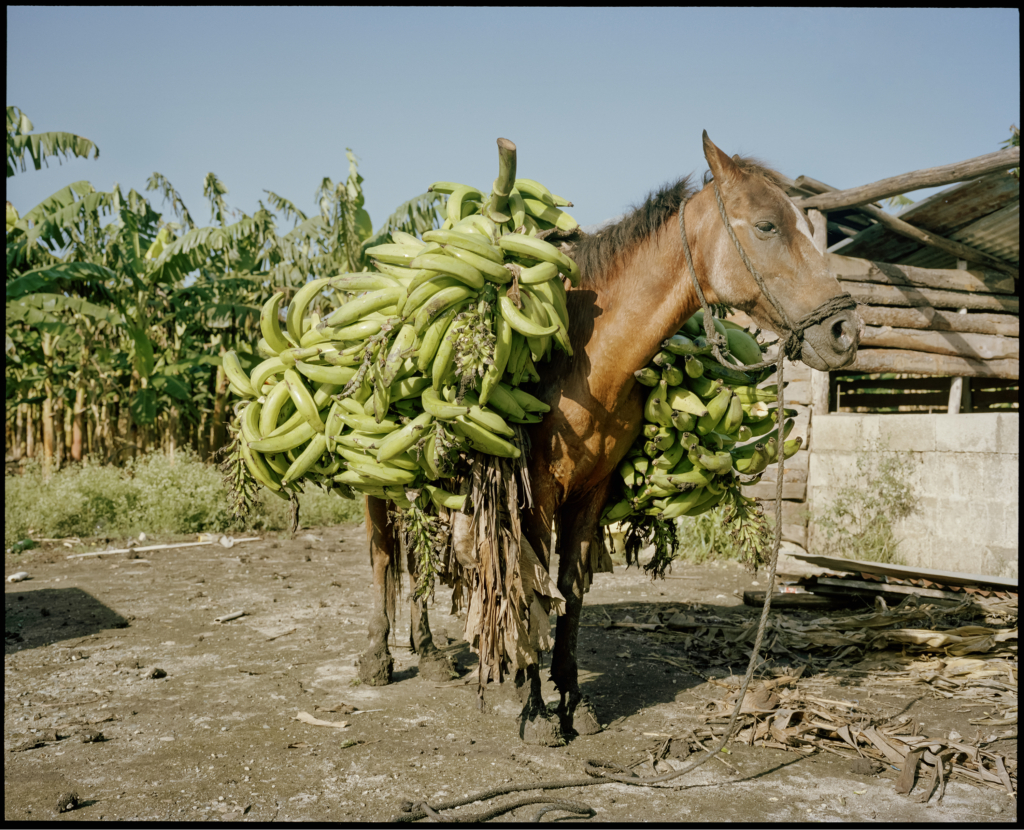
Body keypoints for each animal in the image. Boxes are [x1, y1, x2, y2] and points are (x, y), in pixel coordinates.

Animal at [356, 130, 860, 745]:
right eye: (766, 225)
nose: (845, 331)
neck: (583, 357)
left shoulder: (590, 491)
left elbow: (571, 591)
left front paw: (572, 699)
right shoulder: (535, 495)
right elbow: (532, 589)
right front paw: (534, 708)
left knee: (417, 552)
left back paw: (428, 651)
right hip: (377, 480)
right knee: (385, 556)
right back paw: (379, 656)